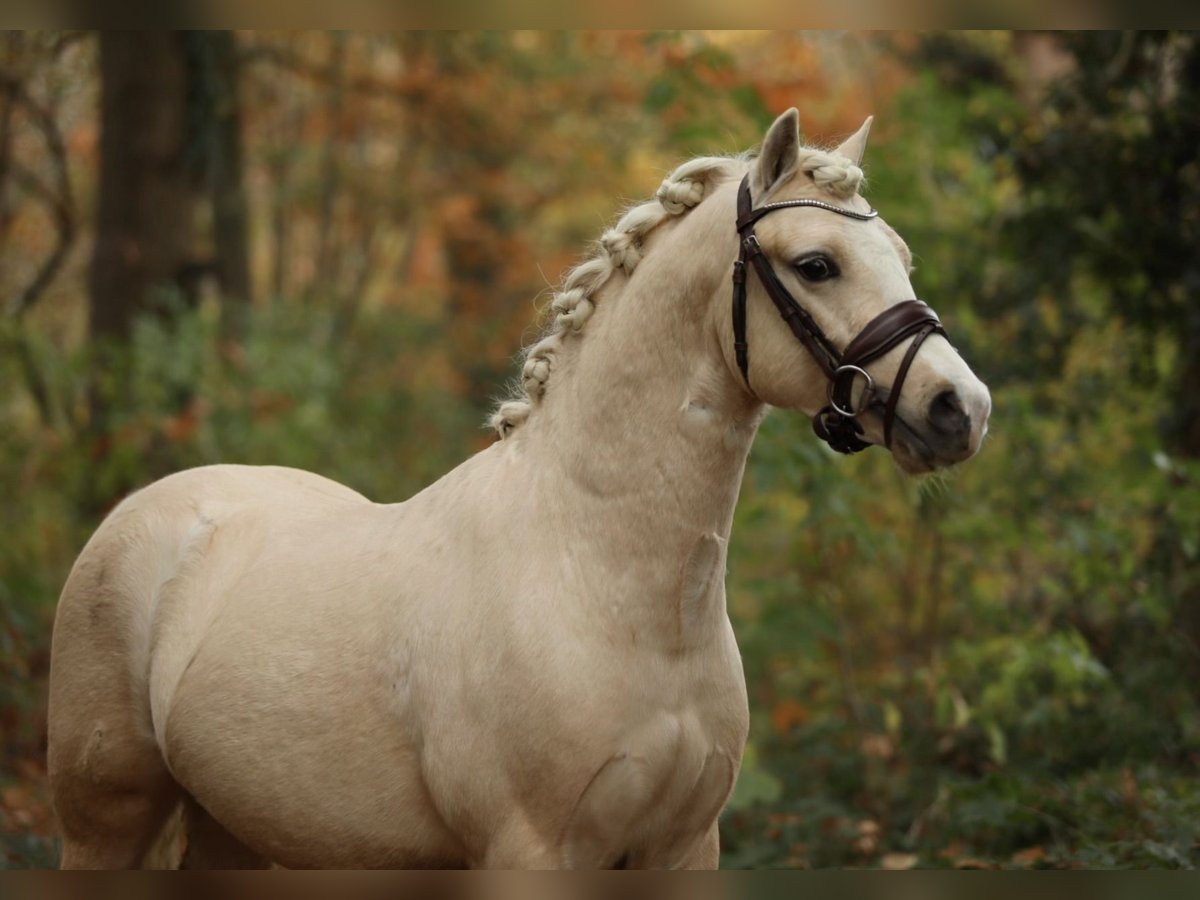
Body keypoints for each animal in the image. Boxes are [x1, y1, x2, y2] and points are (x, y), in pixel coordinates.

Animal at [46, 109, 991, 869]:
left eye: (899, 257)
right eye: (817, 264)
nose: (960, 408)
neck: (606, 582)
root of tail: (148, 511)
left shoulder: (682, 850)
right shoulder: (532, 852)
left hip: (236, 829)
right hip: (105, 823)